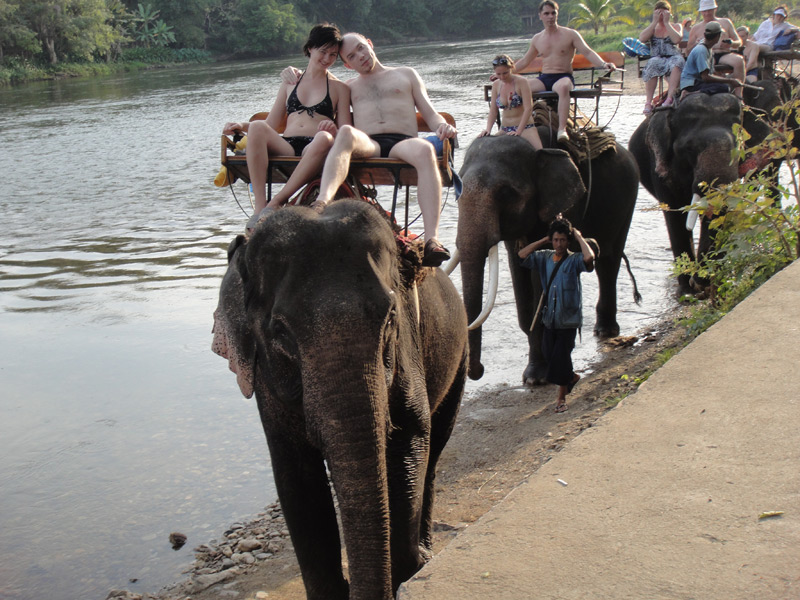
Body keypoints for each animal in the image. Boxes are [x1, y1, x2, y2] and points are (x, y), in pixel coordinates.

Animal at [211, 200, 468, 600]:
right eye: (280, 332)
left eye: (390, 317)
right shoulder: (266, 382)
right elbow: (296, 475)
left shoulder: (407, 346)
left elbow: (411, 435)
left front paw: (408, 572)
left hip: (461, 355)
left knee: (436, 447)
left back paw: (425, 550)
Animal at [454, 132, 640, 384]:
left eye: (506, 193)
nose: (479, 370)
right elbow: (522, 283)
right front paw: (534, 376)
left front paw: (538, 378)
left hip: (626, 199)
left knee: (609, 262)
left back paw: (605, 331)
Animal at [632, 93, 744, 290]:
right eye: (689, 149)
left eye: (739, 145)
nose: (697, 282)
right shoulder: (659, 166)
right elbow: (675, 212)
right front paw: (688, 288)